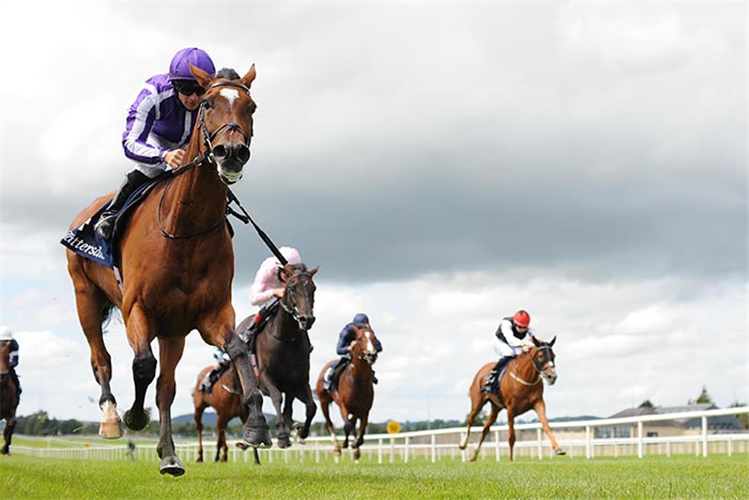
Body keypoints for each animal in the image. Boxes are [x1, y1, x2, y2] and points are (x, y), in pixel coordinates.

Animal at [63, 63, 268, 476]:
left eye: (251, 107)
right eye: (207, 103)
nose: (231, 152)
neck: (185, 228)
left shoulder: (210, 315)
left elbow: (238, 350)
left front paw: (255, 425)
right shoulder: (136, 309)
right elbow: (142, 365)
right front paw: (133, 416)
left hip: (174, 332)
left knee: (166, 388)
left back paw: (170, 454)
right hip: (85, 296)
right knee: (101, 358)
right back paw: (111, 417)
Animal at [234, 264, 316, 452]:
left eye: (313, 288)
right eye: (292, 288)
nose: (306, 319)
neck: (287, 339)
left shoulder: (299, 382)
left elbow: (311, 407)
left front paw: (301, 431)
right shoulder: (265, 379)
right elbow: (277, 397)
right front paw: (282, 436)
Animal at [312, 324, 376, 460]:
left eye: (374, 338)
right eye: (359, 339)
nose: (371, 355)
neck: (358, 381)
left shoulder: (365, 409)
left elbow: (358, 427)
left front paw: (355, 445)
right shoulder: (343, 405)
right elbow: (347, 425)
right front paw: (345, 444)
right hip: (324, 401)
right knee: (329, 423)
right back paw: (337, 447)